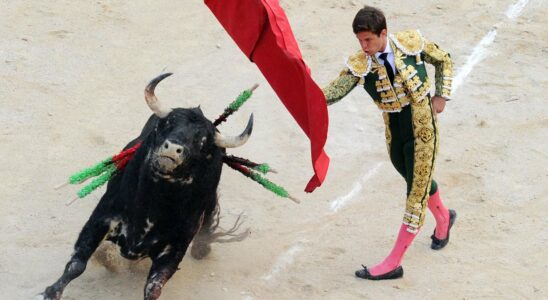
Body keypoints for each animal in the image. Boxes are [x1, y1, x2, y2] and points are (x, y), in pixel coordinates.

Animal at [41, 73, 255, 300]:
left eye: (201, 141)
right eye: (167, 123)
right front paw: (50, 292)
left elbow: (154, 287)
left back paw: (201, 248)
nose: (172, 148)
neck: (156, 200)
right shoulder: (101, 218)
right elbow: (77, 263)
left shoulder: (174, 249)